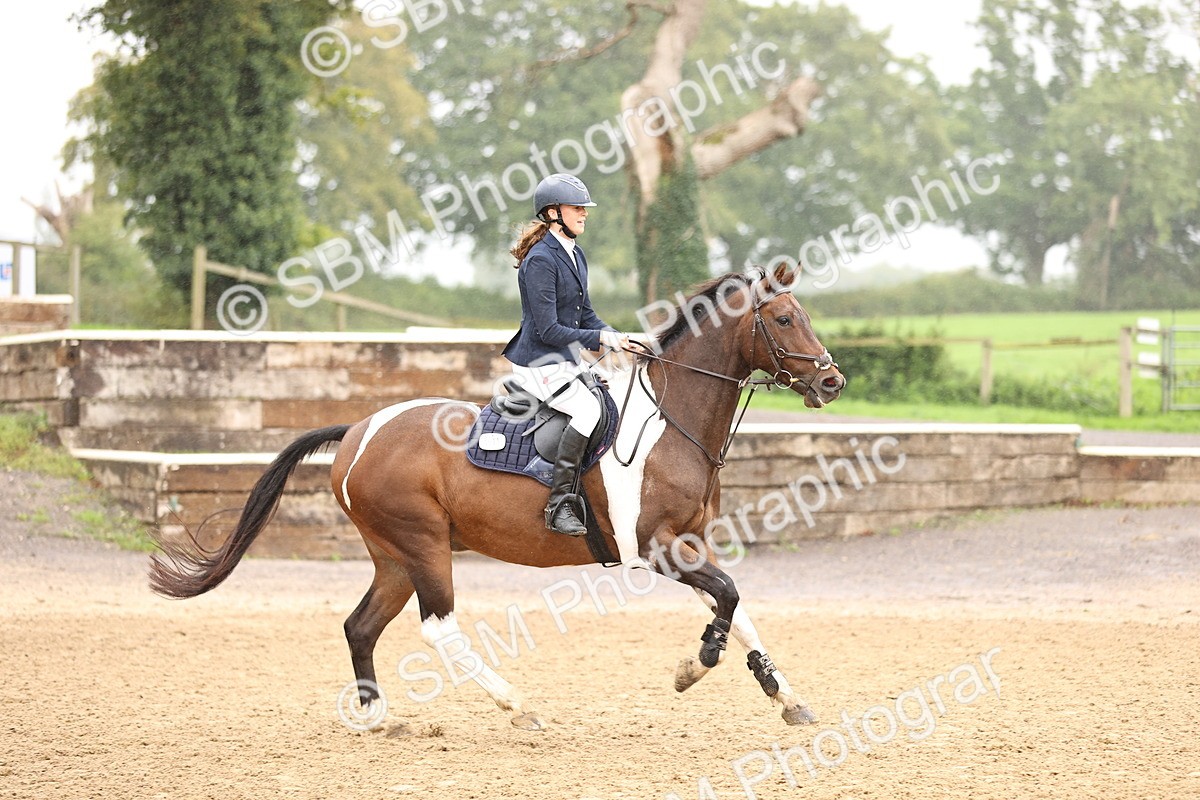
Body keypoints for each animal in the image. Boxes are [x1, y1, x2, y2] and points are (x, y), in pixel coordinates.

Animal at [150, 265, 846, 730]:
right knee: (438, 627)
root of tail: (358, 431)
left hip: (394, 555)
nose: (833, 382)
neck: (671, 422)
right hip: (424, 545)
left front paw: (785, 697)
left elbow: (737, 604)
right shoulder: (656, 548)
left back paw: (378, 717)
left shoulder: (690, 543)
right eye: (785, 319)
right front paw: (695, 666)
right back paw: (516, 705)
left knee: (360, 625)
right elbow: (727, 596)